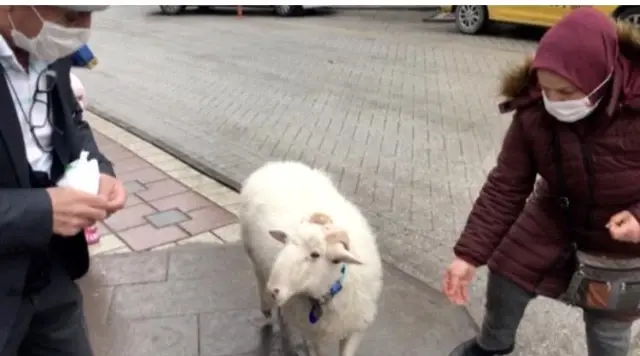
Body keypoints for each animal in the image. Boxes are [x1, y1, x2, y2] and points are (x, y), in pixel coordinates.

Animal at [239, 161, 380, 356]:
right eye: (285, 243)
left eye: (315, 254)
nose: (273, 290)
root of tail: (277, 164)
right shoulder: (313, 336)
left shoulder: (355, 329)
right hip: (255, 259)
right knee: (260, 280)